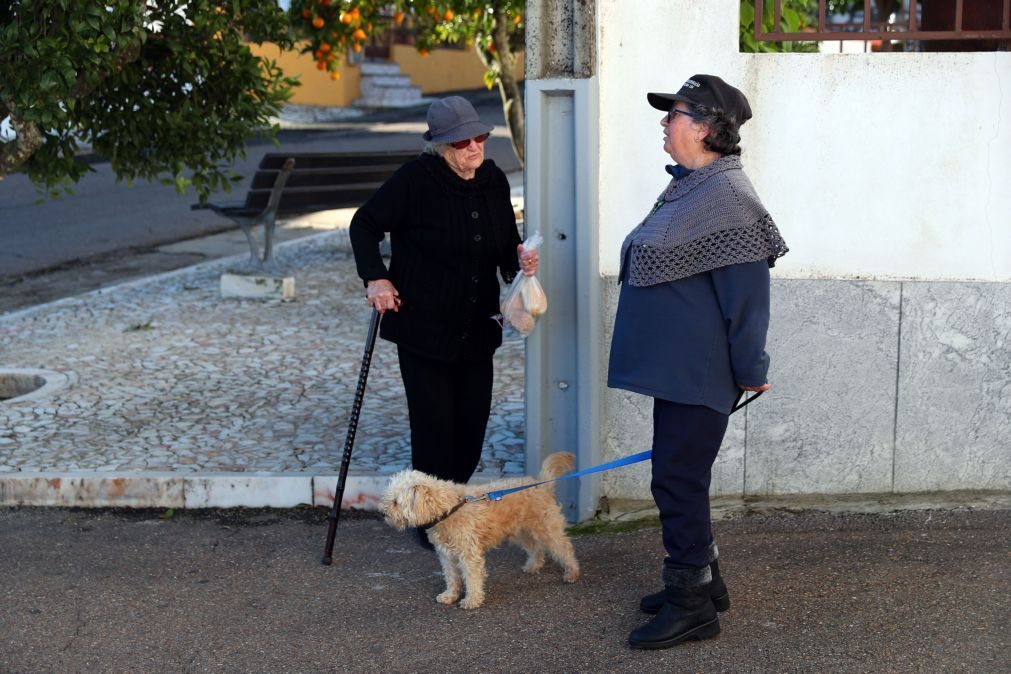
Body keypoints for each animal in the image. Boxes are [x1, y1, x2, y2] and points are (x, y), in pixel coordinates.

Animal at [380, 456, 582, 610]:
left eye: (396, 502)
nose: (382, 513)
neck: (448, 509)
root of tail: (540, 484)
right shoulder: (447, 555)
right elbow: (452, 577)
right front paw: (449, 595)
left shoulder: (469, 555)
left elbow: (471, 578)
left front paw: (472, 600)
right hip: (521, 532)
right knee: (535, 548)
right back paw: (533, 566)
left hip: (547, 529)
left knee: (564, 548)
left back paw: (571, 573)